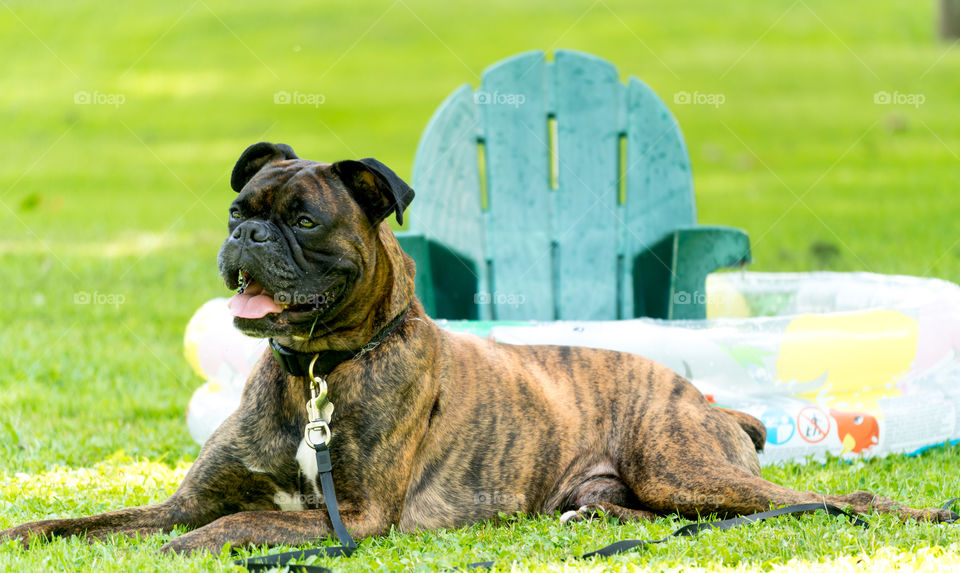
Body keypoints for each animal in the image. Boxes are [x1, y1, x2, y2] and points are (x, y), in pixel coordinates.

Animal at [3, 140, 956, 556]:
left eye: (303, 220)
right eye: (239, 209)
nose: (247, 237)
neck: (316, 371)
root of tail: (709, 399)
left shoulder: (360, 517)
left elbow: (235, 521)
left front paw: (197, 547)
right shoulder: (178, 498)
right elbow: (88, 521)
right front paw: (31, 526)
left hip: (686, 468)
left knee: (839, 498)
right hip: (661, 488)